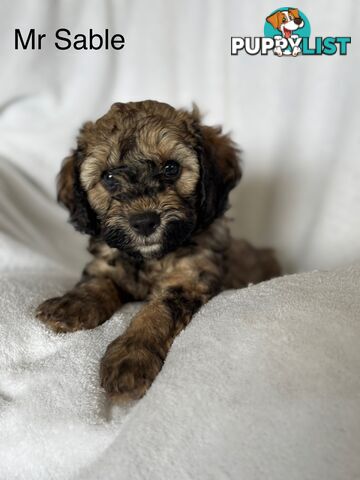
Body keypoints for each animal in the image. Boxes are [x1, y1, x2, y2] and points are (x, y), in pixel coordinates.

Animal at [35, 100, 280, 402]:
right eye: (109, 177)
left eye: (171, 168)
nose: (144, 222)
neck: (150, 258)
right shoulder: (107, 264)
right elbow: (96, 284)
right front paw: (70, 305)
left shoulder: (189, 277)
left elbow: (157, 312)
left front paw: (131, 357)